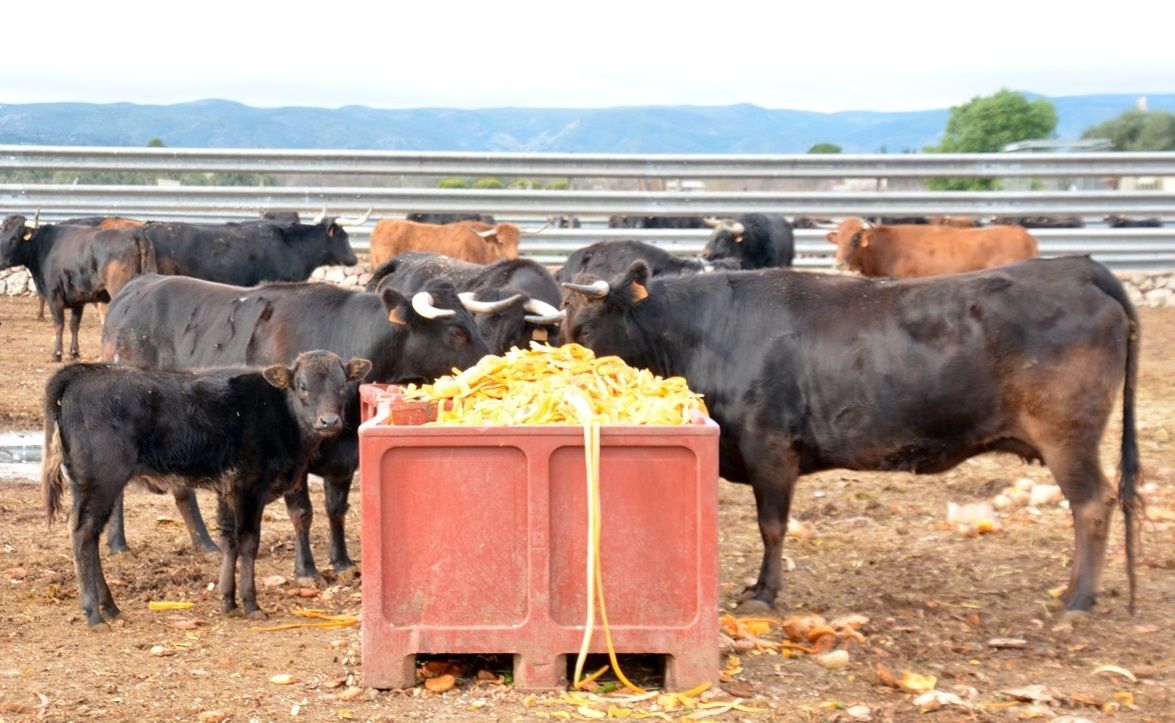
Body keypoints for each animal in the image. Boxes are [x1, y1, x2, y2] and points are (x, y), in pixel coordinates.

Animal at [42, 347, 371, 625]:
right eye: (303, 386)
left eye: (343, 386)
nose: (329, 421)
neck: (281, 413)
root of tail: (83, 372)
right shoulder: (250, 489)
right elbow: (248, 542)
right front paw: (251, 604)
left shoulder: (228, 491)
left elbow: (229, 540)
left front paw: (228, 601)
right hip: (102, 480)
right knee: (84, 533)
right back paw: (94, 614)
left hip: (87, 484)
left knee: (88, 534)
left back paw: (110, 607)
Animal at [98, 271, 488, 583]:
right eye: (456, 332)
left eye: (474, 324)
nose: (490, 361)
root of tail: (137, 287)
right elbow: (302, 513)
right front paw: (307, 569)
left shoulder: (345, 456)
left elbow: (336, 509)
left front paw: (342, 561)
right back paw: (118, 542)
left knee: (182, 490)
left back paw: (206, 544)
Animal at [564, 257, 1142, 616]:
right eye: (558, 329)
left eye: (588, 330)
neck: (704, 331)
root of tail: (1076, 266)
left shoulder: (769, 445)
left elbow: (772, 526)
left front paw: (764, 592)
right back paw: (1072, 590)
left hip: (1067, 435)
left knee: (1093, 504)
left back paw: (1079, 600)